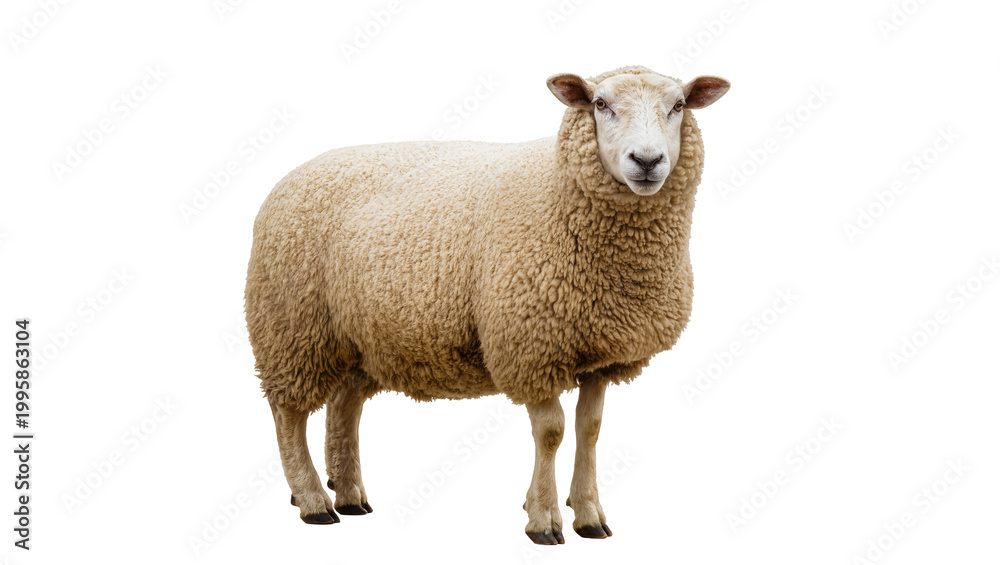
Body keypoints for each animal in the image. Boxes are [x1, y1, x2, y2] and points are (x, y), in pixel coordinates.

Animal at [245, 65, 729, 543]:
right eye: (600, 104)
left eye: (678, 105)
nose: (647, 161)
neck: (559, 193)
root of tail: (292, 175)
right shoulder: (530, 347)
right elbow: (551, 432)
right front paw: (544, 519)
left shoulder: (598, 353)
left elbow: (589, 430)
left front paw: (589, 515)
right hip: (292, 326)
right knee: (288, 414)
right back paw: (313, 501)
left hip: (361, 337)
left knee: (345, 406)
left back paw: (349, 495)